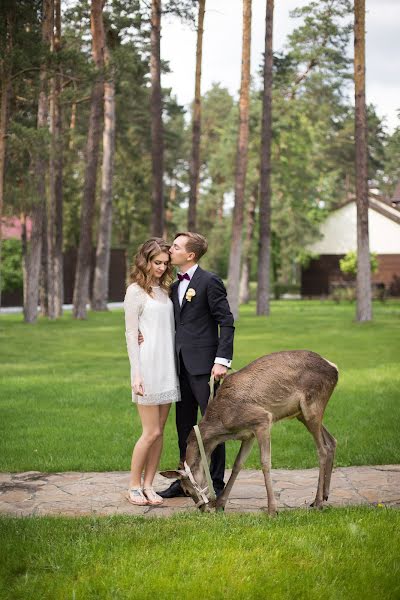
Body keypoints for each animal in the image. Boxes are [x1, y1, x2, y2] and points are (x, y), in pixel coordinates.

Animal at [159, 352, 338, 516]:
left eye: (187, 491)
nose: (203, 509)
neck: (222, 425)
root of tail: (334, 368)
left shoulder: (263, 419)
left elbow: (265, 463)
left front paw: (272, 510)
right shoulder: (248, 434)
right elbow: (237, 464)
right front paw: (220, 504)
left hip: (312, 406)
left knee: (322, 449)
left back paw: (318, 502)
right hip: (302, 414)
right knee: (331, 441)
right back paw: (324, 496)